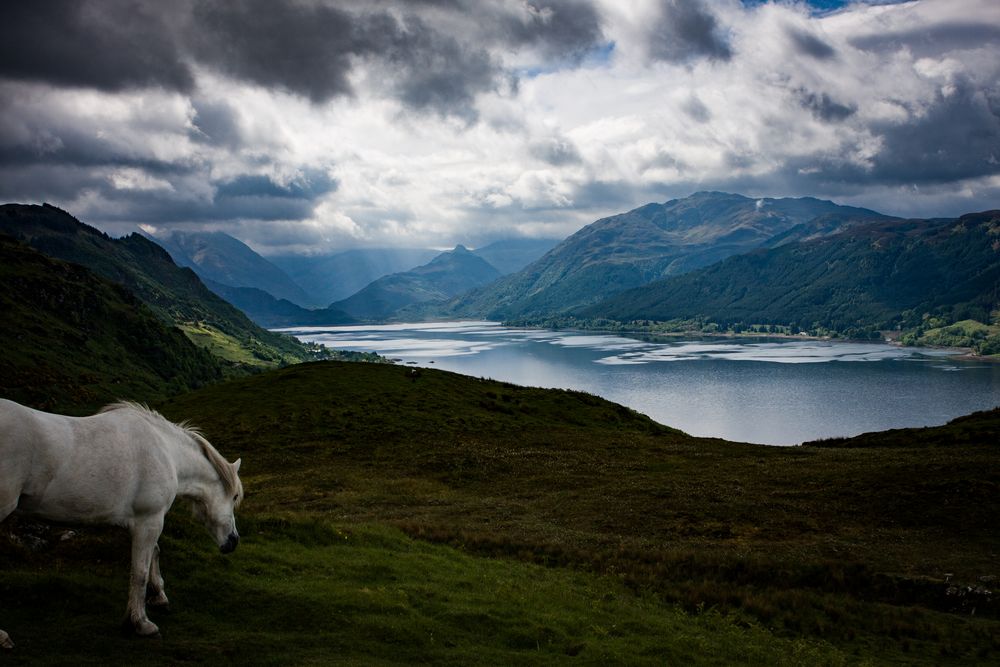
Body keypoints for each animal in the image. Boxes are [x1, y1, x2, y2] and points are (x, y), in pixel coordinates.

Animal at [0, 400, 242, 648]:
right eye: (234, 497)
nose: (233, 540)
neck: (167, 452)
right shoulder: (150, 519)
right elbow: (139, 572)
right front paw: (140, 623)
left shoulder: (140, 521)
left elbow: (154, 553)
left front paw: (159, 597)